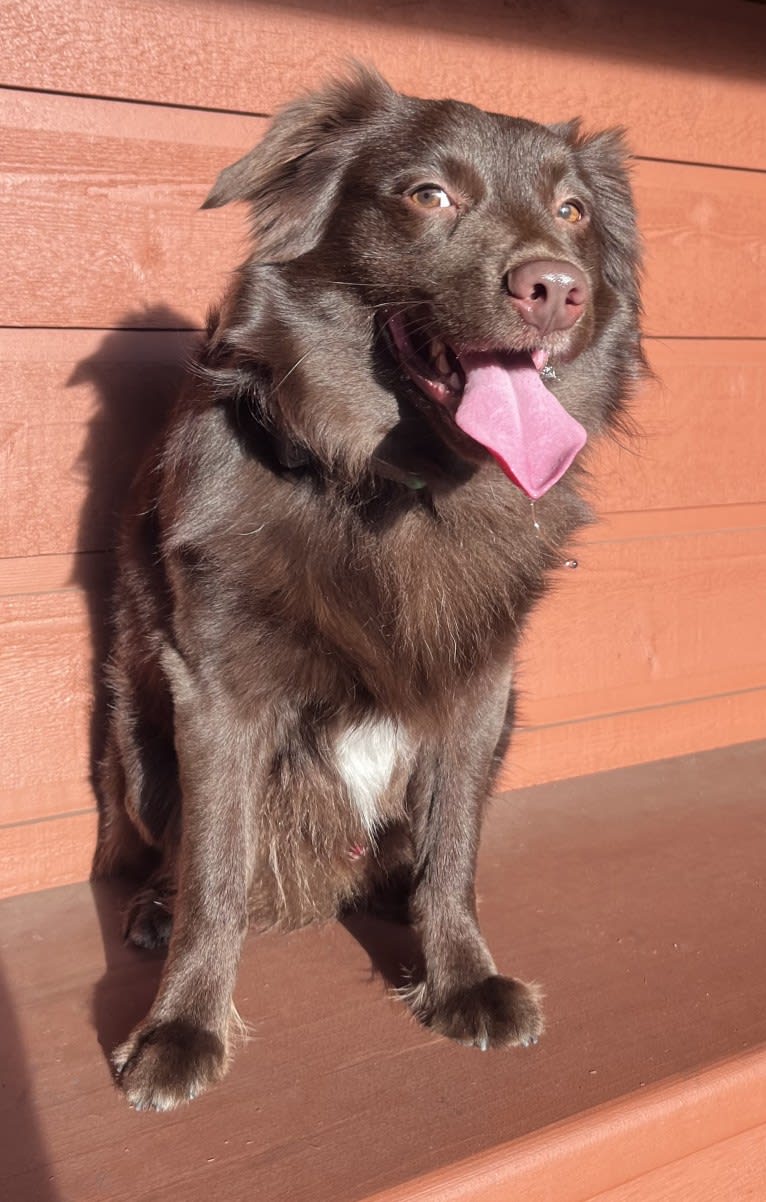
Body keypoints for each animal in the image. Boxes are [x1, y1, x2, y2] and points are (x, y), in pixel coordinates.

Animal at [96, 65, 644, 1105]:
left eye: (574, 212)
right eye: (430, 195)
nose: (557, 287)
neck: (394, 486)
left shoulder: (482, 689)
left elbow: (453, 848)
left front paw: (459, 976)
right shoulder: (215, 691)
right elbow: (215, 870)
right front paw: (183, 1026)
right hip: (139, 739)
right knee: (169, 846)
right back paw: (152, 906)